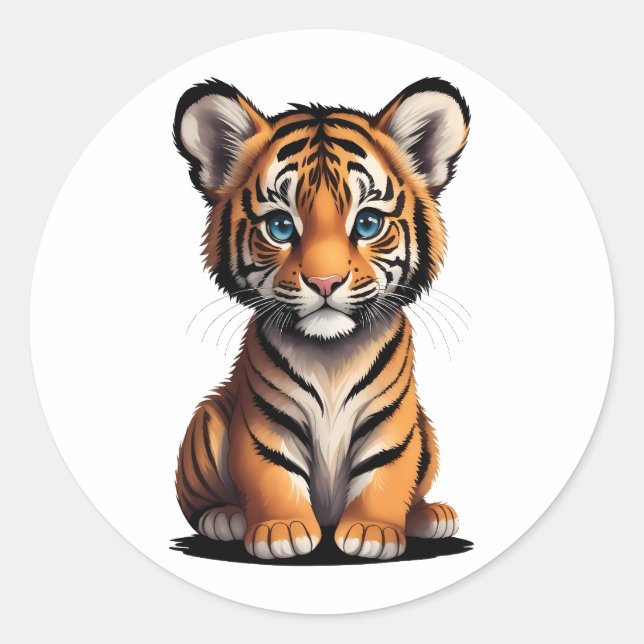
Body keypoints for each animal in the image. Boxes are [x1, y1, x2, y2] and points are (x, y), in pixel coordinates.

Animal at [173, 77, 470, 560]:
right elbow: (269, 469)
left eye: (367, 224)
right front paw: (282, 531)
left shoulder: (393, 418)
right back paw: (224, 517)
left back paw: (431, 516)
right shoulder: (264, 417)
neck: (332, 355)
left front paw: (372, 532)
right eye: (280, 226)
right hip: (209, 418)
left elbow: (387, 470)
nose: (324, 281)